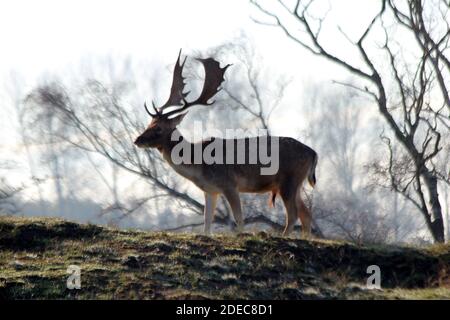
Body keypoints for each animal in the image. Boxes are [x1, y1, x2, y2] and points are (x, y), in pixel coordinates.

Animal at [134, 51, 316, 238]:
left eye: (159, 128)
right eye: (150, 123)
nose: (137, 140)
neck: (198, 164)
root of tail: (313, 153)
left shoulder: (229, 184)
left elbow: (239, 218)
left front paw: (241, 234)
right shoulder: (210, 190)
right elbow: (207, 221)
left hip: (289, 180)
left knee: (294, 214)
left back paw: (284, 236)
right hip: (294, 185)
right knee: (306, 214)